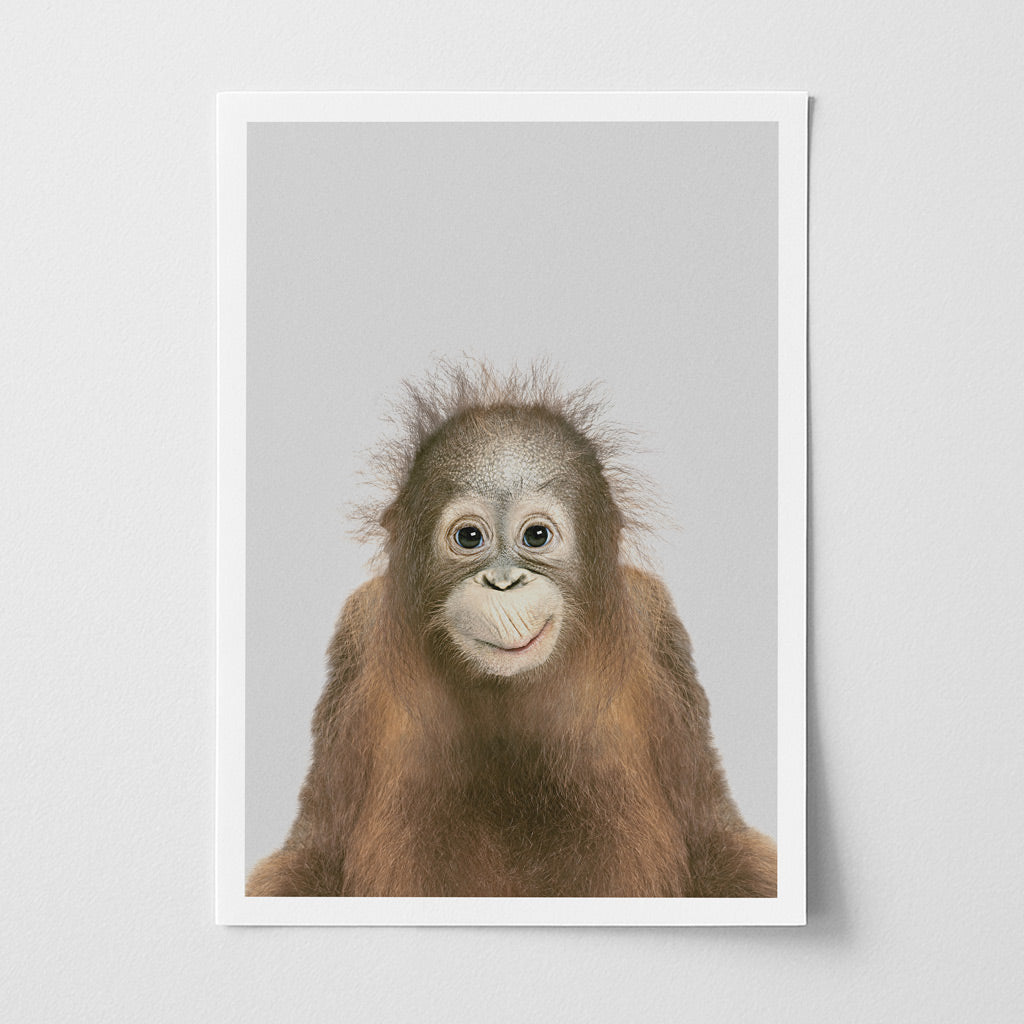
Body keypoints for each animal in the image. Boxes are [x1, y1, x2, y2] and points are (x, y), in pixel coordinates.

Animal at [246, 364, 777, 898]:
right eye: (469, 537)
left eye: (536, 536)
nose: (503, 582)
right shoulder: (358, 630)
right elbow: (316, 853)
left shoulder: (657, 622)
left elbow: (713, 840)